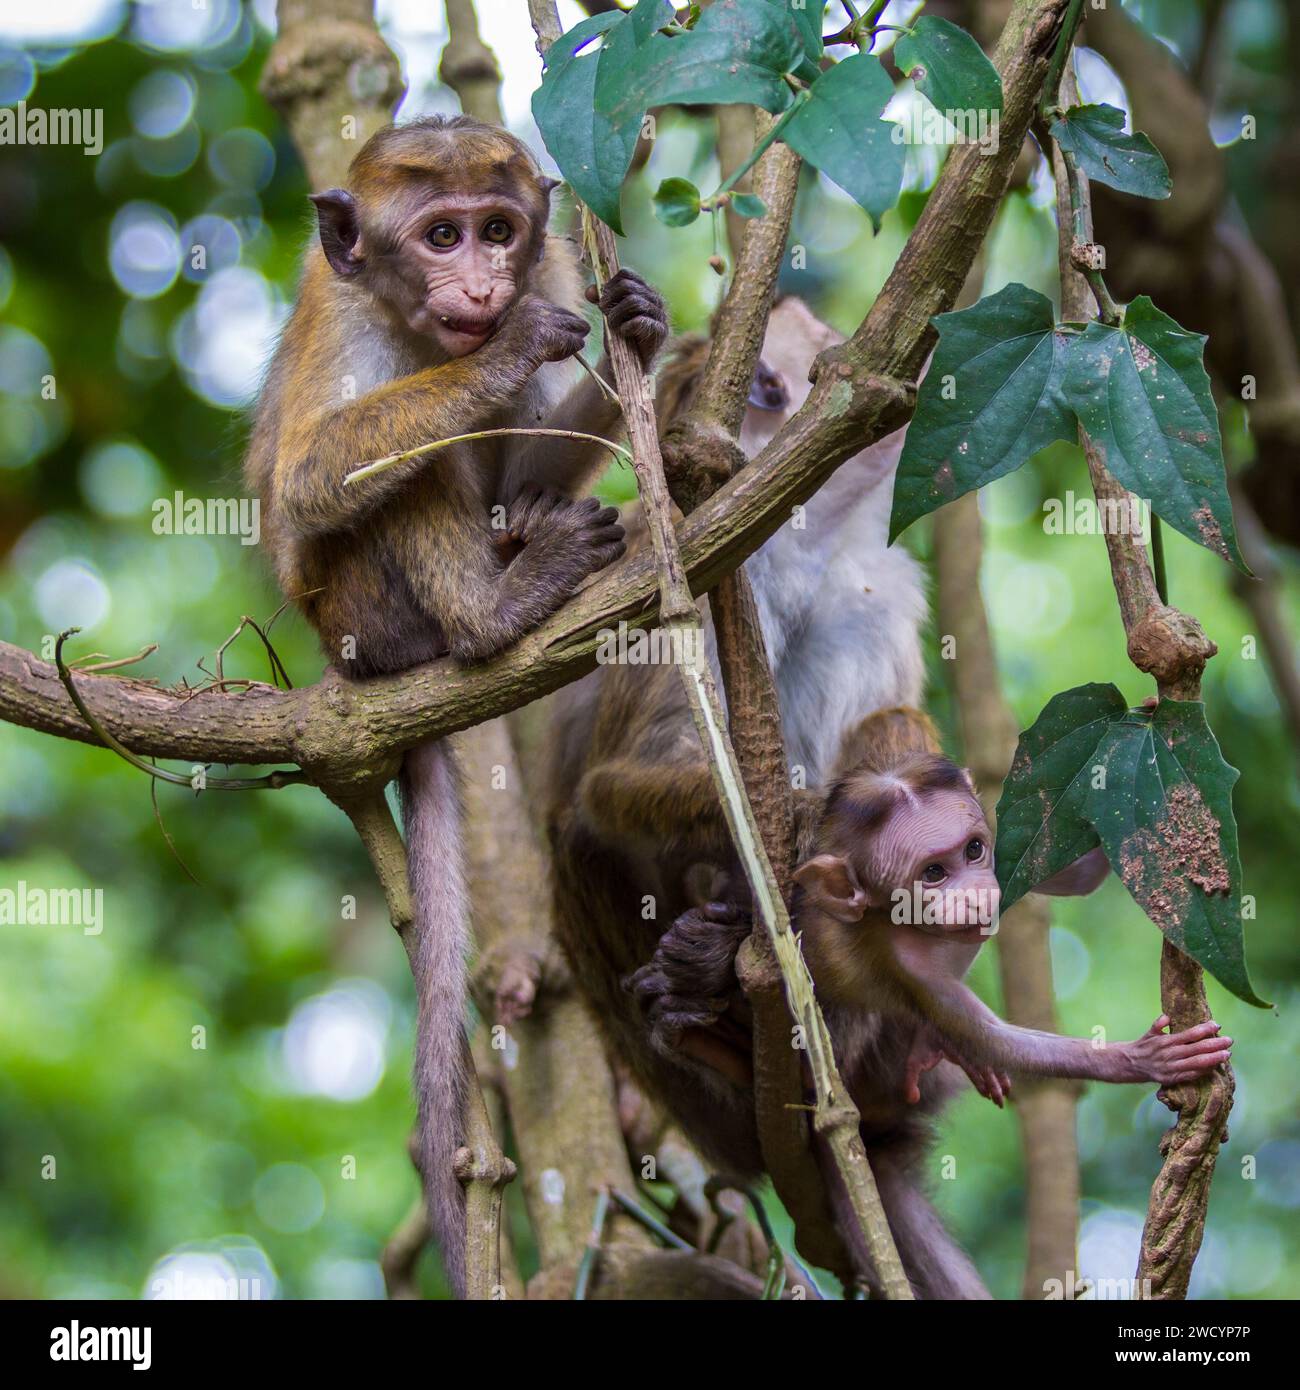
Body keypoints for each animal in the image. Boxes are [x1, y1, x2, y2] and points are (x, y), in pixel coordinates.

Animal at [246, 113, 670, 1295]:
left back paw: (528, 531)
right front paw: (511, 343)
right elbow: (310, 480)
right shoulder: (344, 317)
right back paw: (497, 611)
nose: (481, 282)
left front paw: (643, 328)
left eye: (498, 228)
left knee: (494, 477)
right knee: (406, 476)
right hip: (361, 615)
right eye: (440, 235)